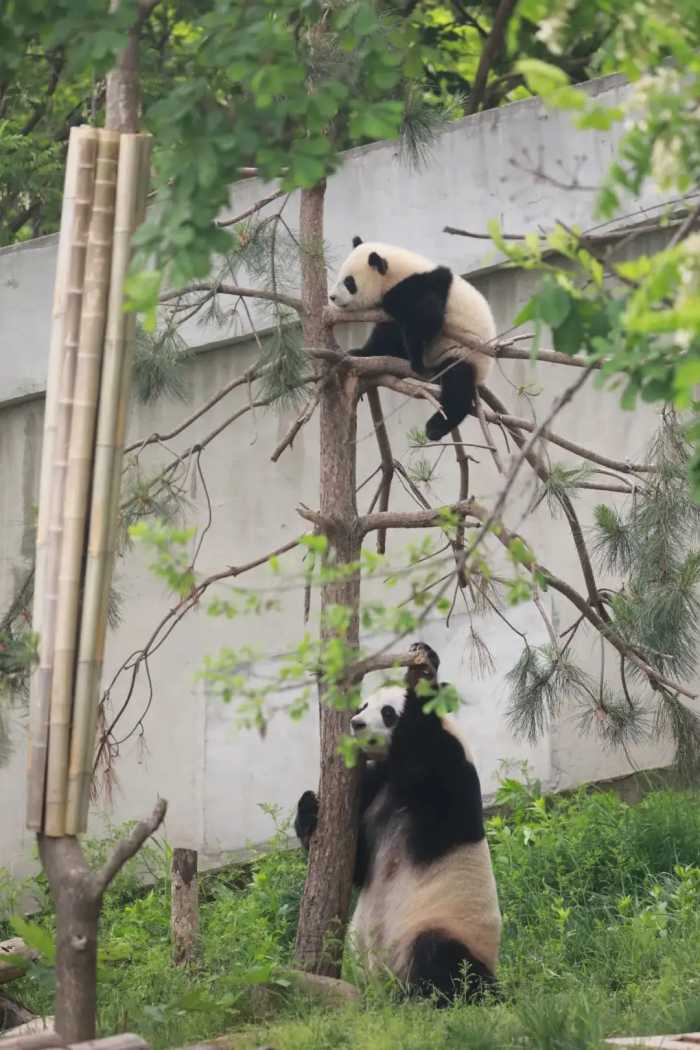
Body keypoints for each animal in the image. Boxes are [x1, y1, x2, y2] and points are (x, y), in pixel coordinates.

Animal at [293, 642, 501, 1003]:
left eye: (388, 713)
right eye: (364, 705)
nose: (356, 722)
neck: (391, 764)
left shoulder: (449, 770)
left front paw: (423, 671)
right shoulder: (379, 786)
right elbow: (357, 863)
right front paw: (309, 808)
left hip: (448, 924)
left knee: (443, 959)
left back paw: (429, 997)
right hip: (362, 951)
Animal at [329, 238, 497, 438]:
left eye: (349, 282)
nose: (332, 297)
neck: (396, 272)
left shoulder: (421, 286)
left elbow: (427, 319)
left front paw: (417, 362)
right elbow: (388, 335)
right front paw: (360, 352)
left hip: (465, 353)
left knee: (457, 383)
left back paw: (436, 427)